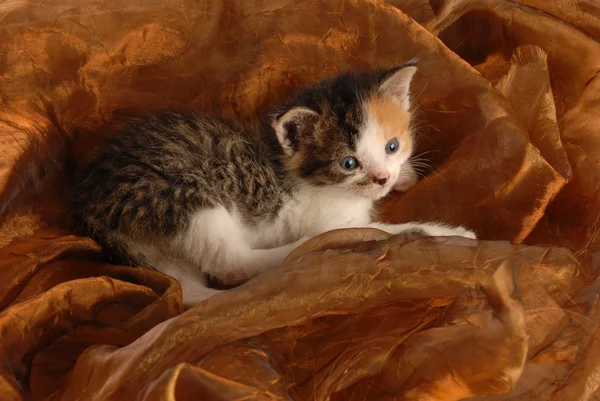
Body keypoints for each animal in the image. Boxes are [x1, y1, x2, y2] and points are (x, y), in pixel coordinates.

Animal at [70, 62, 476, 304]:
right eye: (348, 163)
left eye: (392, 146)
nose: (382, 178)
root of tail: (91, 201)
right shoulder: (329, 216)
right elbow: (378, 228)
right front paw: (444, 231)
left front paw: (405, 175)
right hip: (180, 194)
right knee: (234, 263)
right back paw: (305, 250)